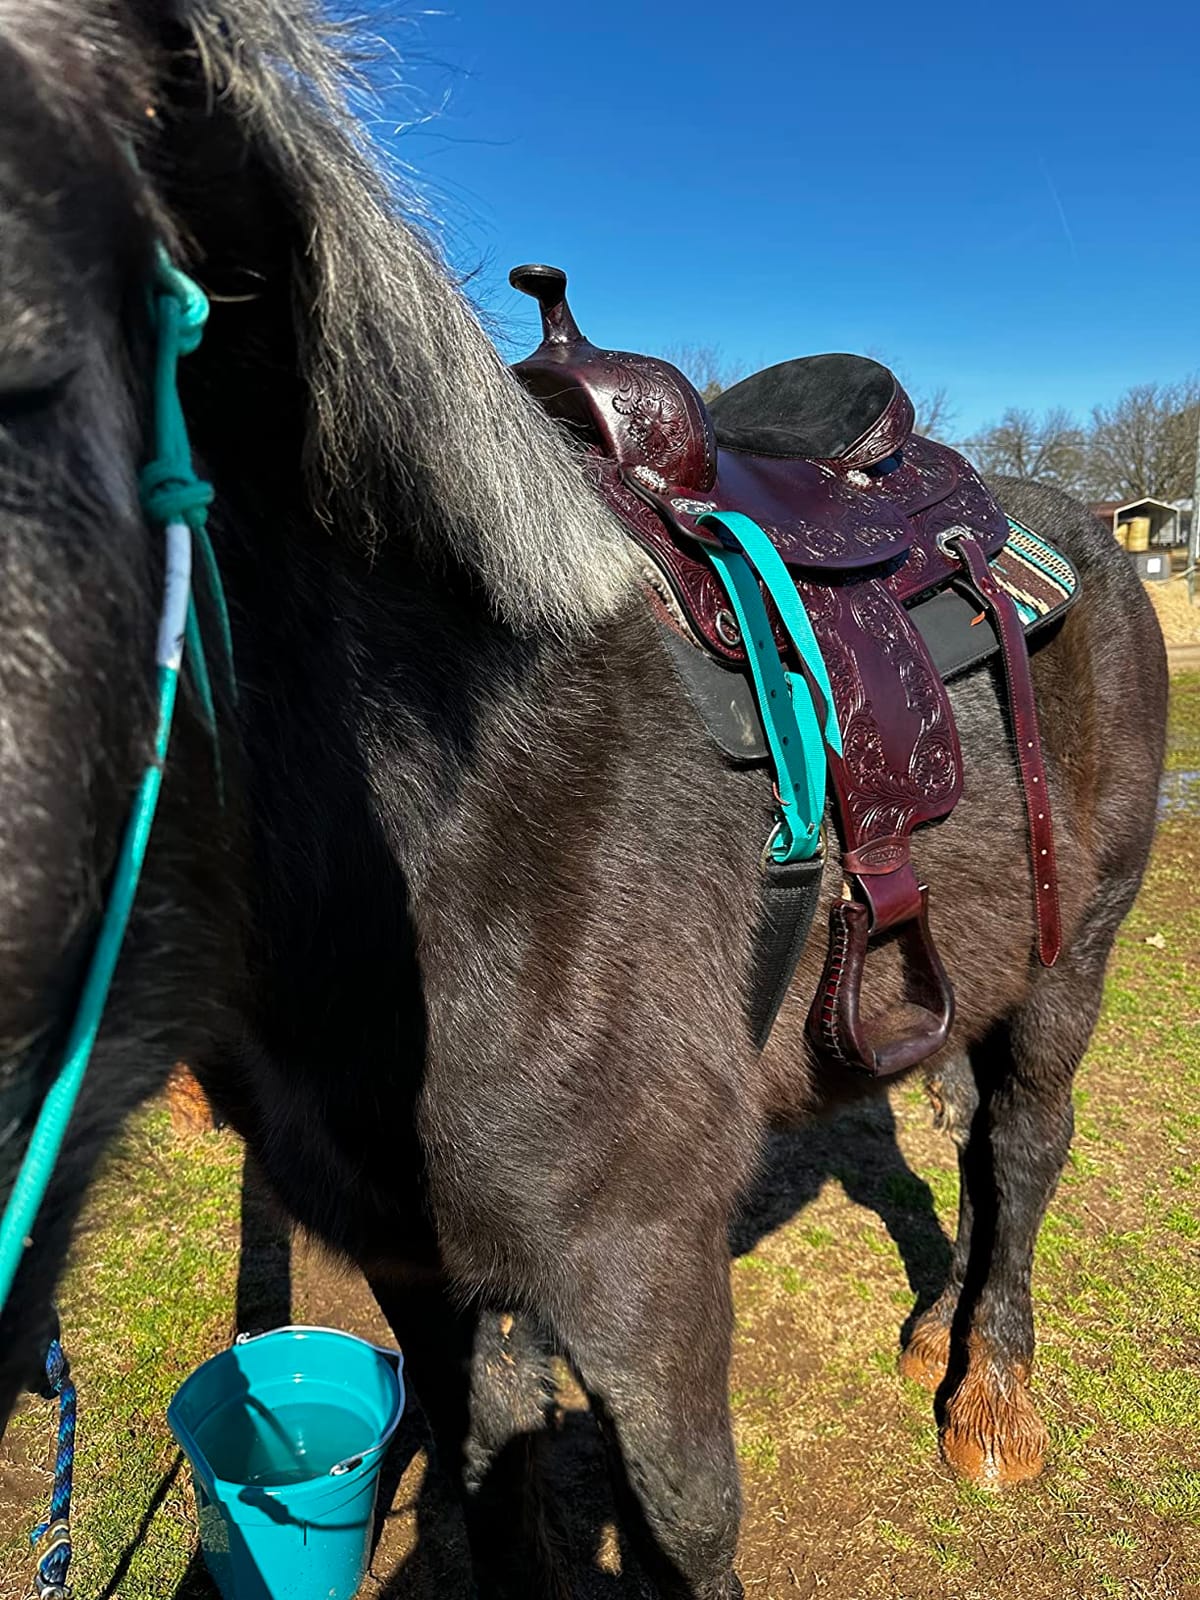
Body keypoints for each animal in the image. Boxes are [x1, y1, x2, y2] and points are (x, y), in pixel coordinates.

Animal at [0, 2, 1167, 1596]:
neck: (460, 820)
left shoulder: (642, 1266)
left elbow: (682, 1518)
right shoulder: (417, 1260)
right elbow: (487, 1469)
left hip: (1079, 946)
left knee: (1028, 1139)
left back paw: (990, 1392)